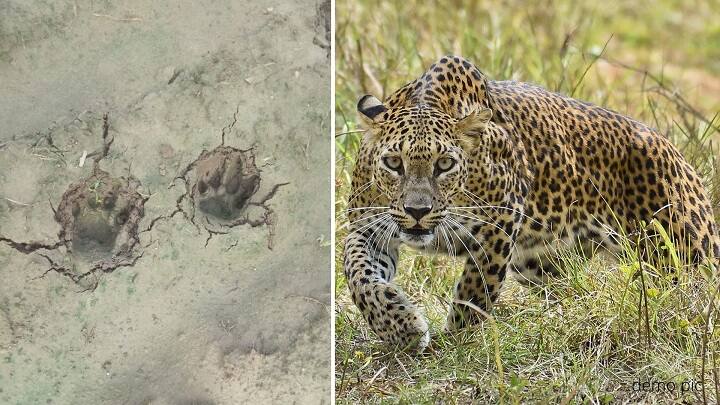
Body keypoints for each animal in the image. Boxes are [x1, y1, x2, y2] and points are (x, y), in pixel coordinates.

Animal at [343, 55, 720, 350]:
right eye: (394, 163)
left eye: (445, 164)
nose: (417, 212)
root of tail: (677, 152)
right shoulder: (367, 226)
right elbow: (359, 275)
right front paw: (401, 328)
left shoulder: (499, 225)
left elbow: (475, 290)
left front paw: (453, 343)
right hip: (539, 263)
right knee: (572, 290)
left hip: (684, 253)